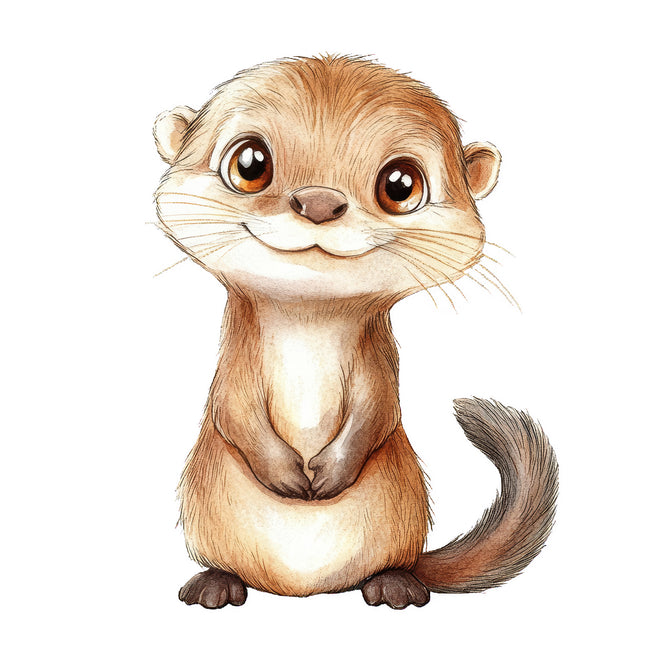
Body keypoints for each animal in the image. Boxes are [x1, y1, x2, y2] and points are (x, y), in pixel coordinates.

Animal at [153, 55, 558, 610]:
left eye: (401, 184)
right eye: (250, 164)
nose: (320, 202)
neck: (309, 323)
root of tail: (304, 587)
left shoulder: (379, 370)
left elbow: (378, 412)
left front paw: (331, 472)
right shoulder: (233, 369)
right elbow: (231, 409)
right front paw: (285, 473)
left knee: (389, 565)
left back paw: (393, 584)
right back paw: (215, 583)